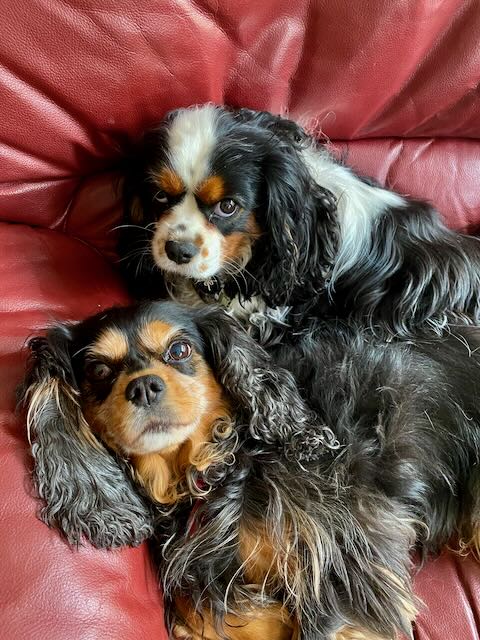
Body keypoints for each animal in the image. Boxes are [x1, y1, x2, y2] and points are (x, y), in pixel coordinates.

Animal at [19, 302, 480, 640]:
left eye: (179, 350)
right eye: (98, 370)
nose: (144, 386)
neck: (220, 470)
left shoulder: (345, 570)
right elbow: (199, 614)